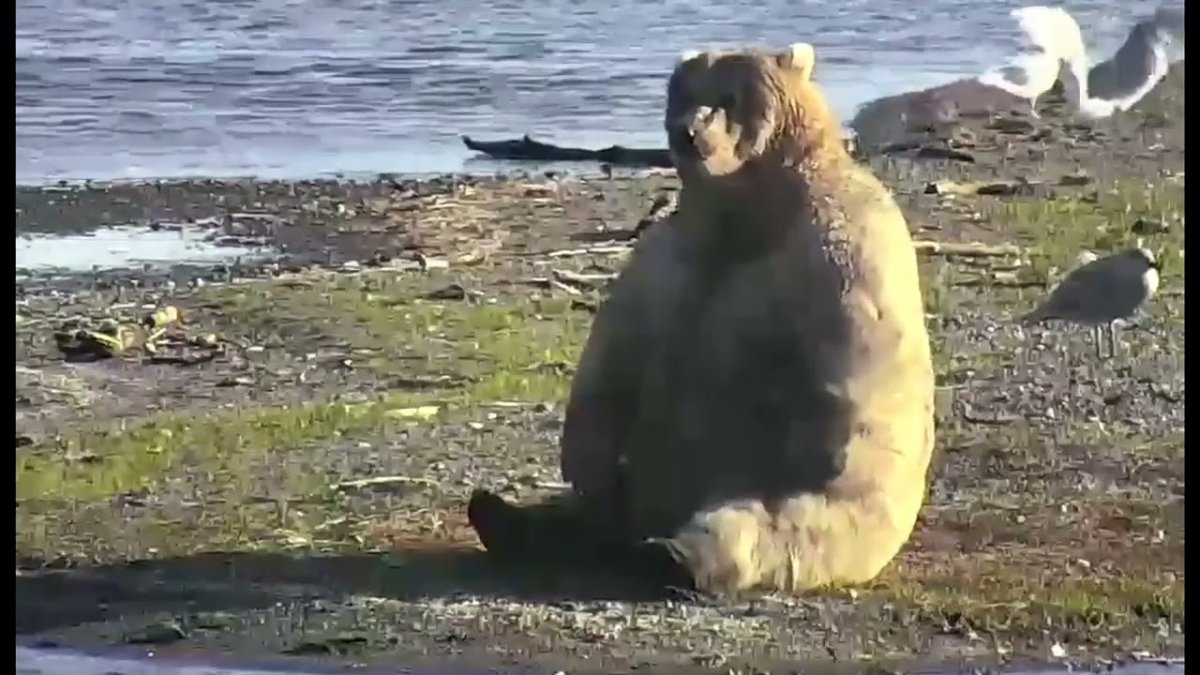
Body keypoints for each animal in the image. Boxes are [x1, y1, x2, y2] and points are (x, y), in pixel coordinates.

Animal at [468, 42, 937, 598]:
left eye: (729, 97)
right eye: (684, 93)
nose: (688, 132)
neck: (740, 212)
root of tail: (651, 517)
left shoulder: (836, 256)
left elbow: (845, 370)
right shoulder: (668, 256)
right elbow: (615, 351)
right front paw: (582, 461)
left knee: (766, 523)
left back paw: (672, 554)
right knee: (590, 511)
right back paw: (501, 515)